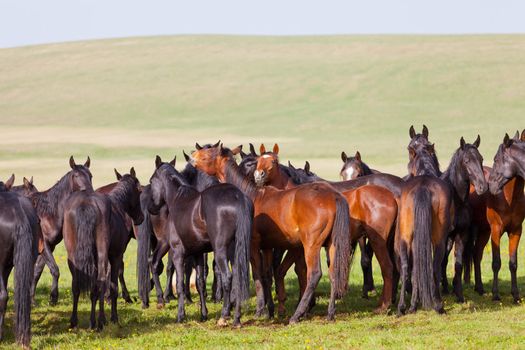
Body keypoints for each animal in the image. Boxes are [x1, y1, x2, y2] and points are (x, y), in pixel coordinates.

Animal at [30, 157, 93, 304]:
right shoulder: (45, 244)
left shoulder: (49, 246)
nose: (88, 192)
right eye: (76, 175)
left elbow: (37, 272)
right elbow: (55, 269)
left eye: (90, 175)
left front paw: (32, 300)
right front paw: (53, 297)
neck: (48, 213)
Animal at [63, 168, 143, 330]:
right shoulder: (116, 256)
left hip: (72, 256)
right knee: (100, 282)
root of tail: (85, 204)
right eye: (139, 190)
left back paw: (75, 321)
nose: (140, 218)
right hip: (101, 254)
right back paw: (98, 321)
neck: (118, 208)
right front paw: (112, 318)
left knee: (76, 285)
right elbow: (112, 285)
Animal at [146, 156, 251, 326]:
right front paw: (203, 314)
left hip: (220, 250)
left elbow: (180, 284)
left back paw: (224, 315)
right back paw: (236, 318)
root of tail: (237, 196)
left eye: (151, 180)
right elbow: (200, 282)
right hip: (235, 250)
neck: (178, 200)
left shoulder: (178, 252)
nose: (150, 208)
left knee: (227, 277)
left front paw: (180, 315)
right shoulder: (198, 254)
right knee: (237, 277)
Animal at [189, 144, 352, 324]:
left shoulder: (253, 245)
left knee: (314, 274)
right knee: (333, 273)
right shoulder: (267, 247)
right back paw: (330, 313)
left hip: (311, 245)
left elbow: (257, 275)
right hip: (332, 244)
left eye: (208, 154)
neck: (252, 196)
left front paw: (260, 310)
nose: (192, 156)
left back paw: (297, 315)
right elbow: (267, 275)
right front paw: (270, 310)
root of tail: (333, 196)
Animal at [468, 131, 525, 300]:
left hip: (483, 231)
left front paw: (515, 295)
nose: (490, 186)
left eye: (495, 159)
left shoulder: (516, 231)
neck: (508, 198)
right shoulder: (496, 230)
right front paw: (495, 294)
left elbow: (513, 264)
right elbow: (496, 263)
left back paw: (479, 288)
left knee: (476, 254)